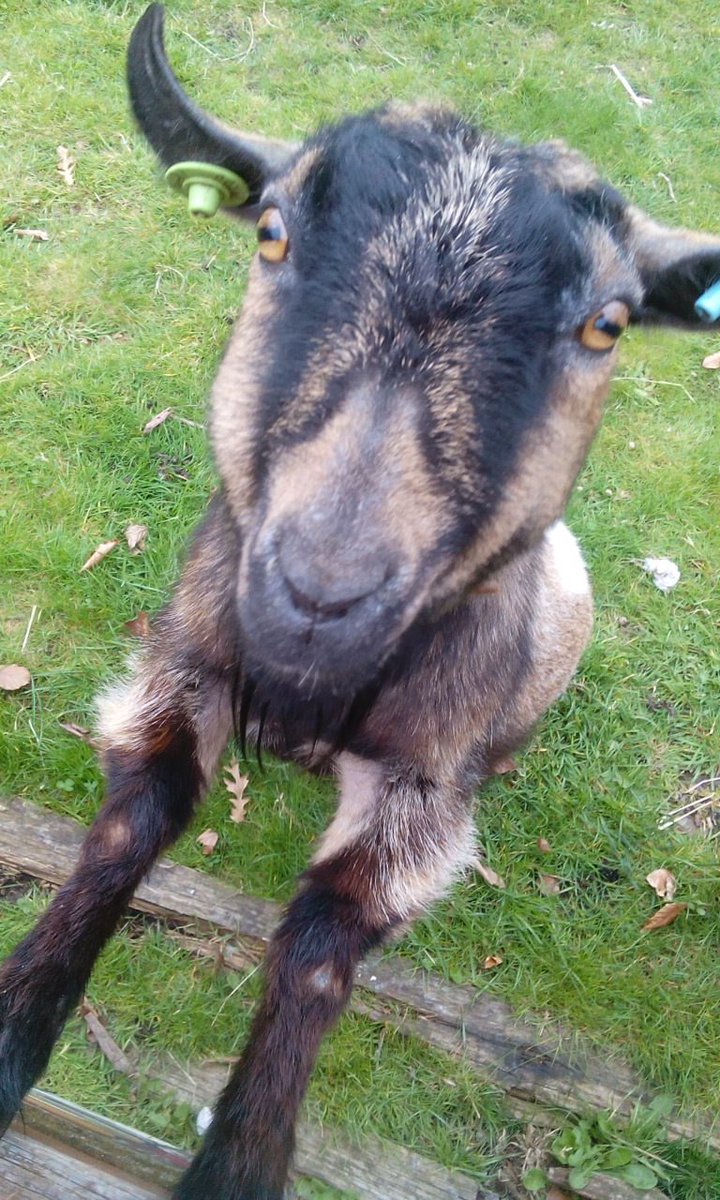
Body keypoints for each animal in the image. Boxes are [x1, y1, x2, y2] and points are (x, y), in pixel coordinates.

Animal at [1, 5, 718, 1197]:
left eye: (607, 324)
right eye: (272, 232)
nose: (317, 592)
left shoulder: (420, 790)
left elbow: (322, 943)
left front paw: (238, 1161)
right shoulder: (183, 659)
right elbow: (131, 820)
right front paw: (13, 1036)